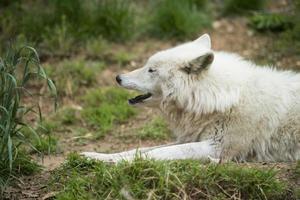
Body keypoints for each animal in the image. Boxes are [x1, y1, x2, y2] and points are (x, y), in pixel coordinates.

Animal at [82, 34, 300, 162]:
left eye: (151, 70)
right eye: (147, 66)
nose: (118, 77)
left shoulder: (217, 148)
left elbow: (156, 153)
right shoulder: (189, 138)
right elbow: (141, 149)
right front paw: (95, 157)